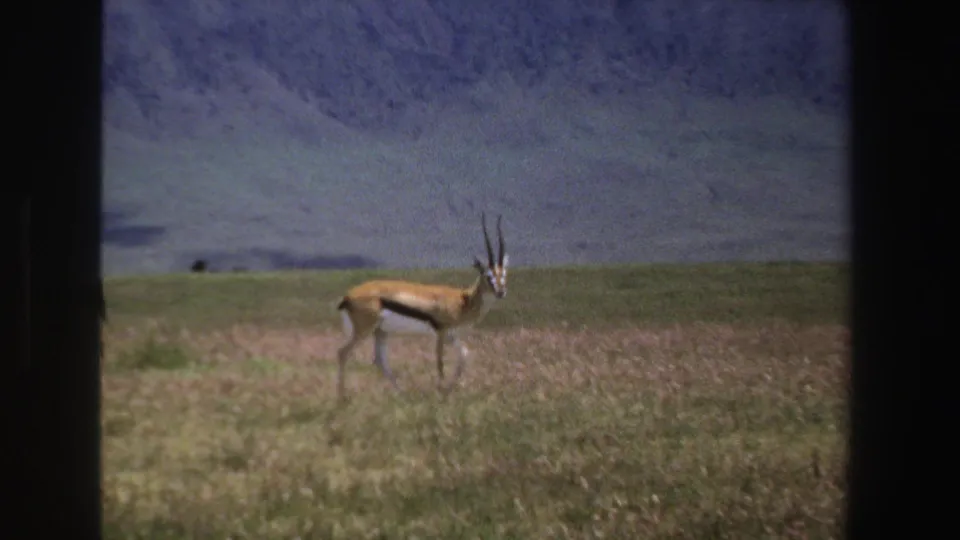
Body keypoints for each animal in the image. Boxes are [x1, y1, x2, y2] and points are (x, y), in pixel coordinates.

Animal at [334, 213, 509, 399]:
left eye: (503, 274)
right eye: (488, 275)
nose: (501, 292)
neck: (463, 300)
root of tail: (348, 296)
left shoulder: (451, 334)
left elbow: (464, 357)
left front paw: (449, 389)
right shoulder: (440, 332)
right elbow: (440, 362)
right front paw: (441, 392)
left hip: (381, 332)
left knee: (380, 361)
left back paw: (402, 394)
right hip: (363, 331)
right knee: (343, 353)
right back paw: (342, 398)